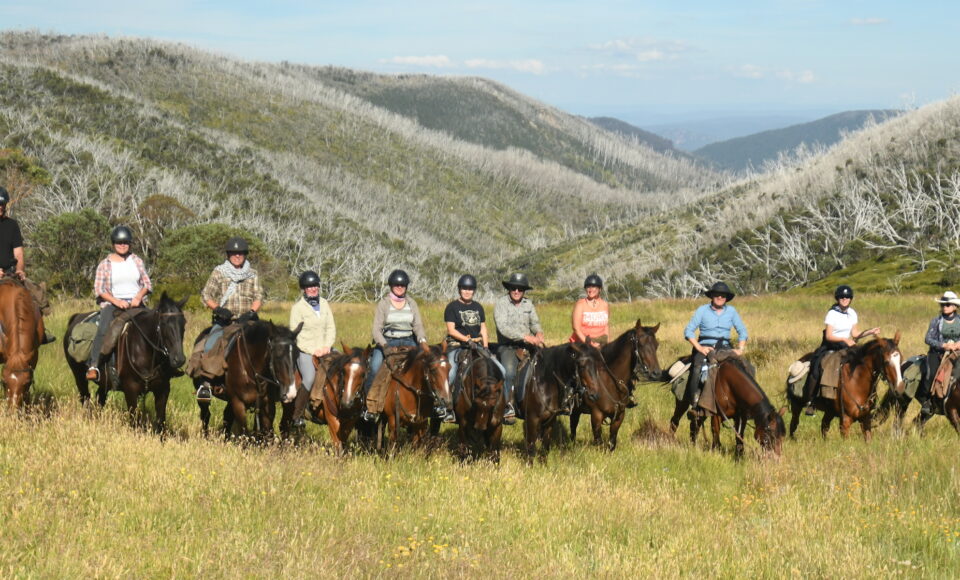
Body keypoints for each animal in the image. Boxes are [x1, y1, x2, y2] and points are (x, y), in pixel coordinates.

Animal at [63, 292, 188, 432]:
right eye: (164, 323)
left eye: (183, 324)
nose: (179, 359)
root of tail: (76, 318)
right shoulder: (131, 390)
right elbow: (135, 423)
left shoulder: (163, 390)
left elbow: (161, 423)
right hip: (79, 376)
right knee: (85, 398)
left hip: (105, 383)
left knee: (99, 399)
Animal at [568, 320, 664, 450]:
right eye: (641, 344)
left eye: (656, 345)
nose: (656, 373)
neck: (610, 382)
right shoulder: (596, 415)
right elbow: (598, 442)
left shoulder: (619, 416)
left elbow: (612, 442)